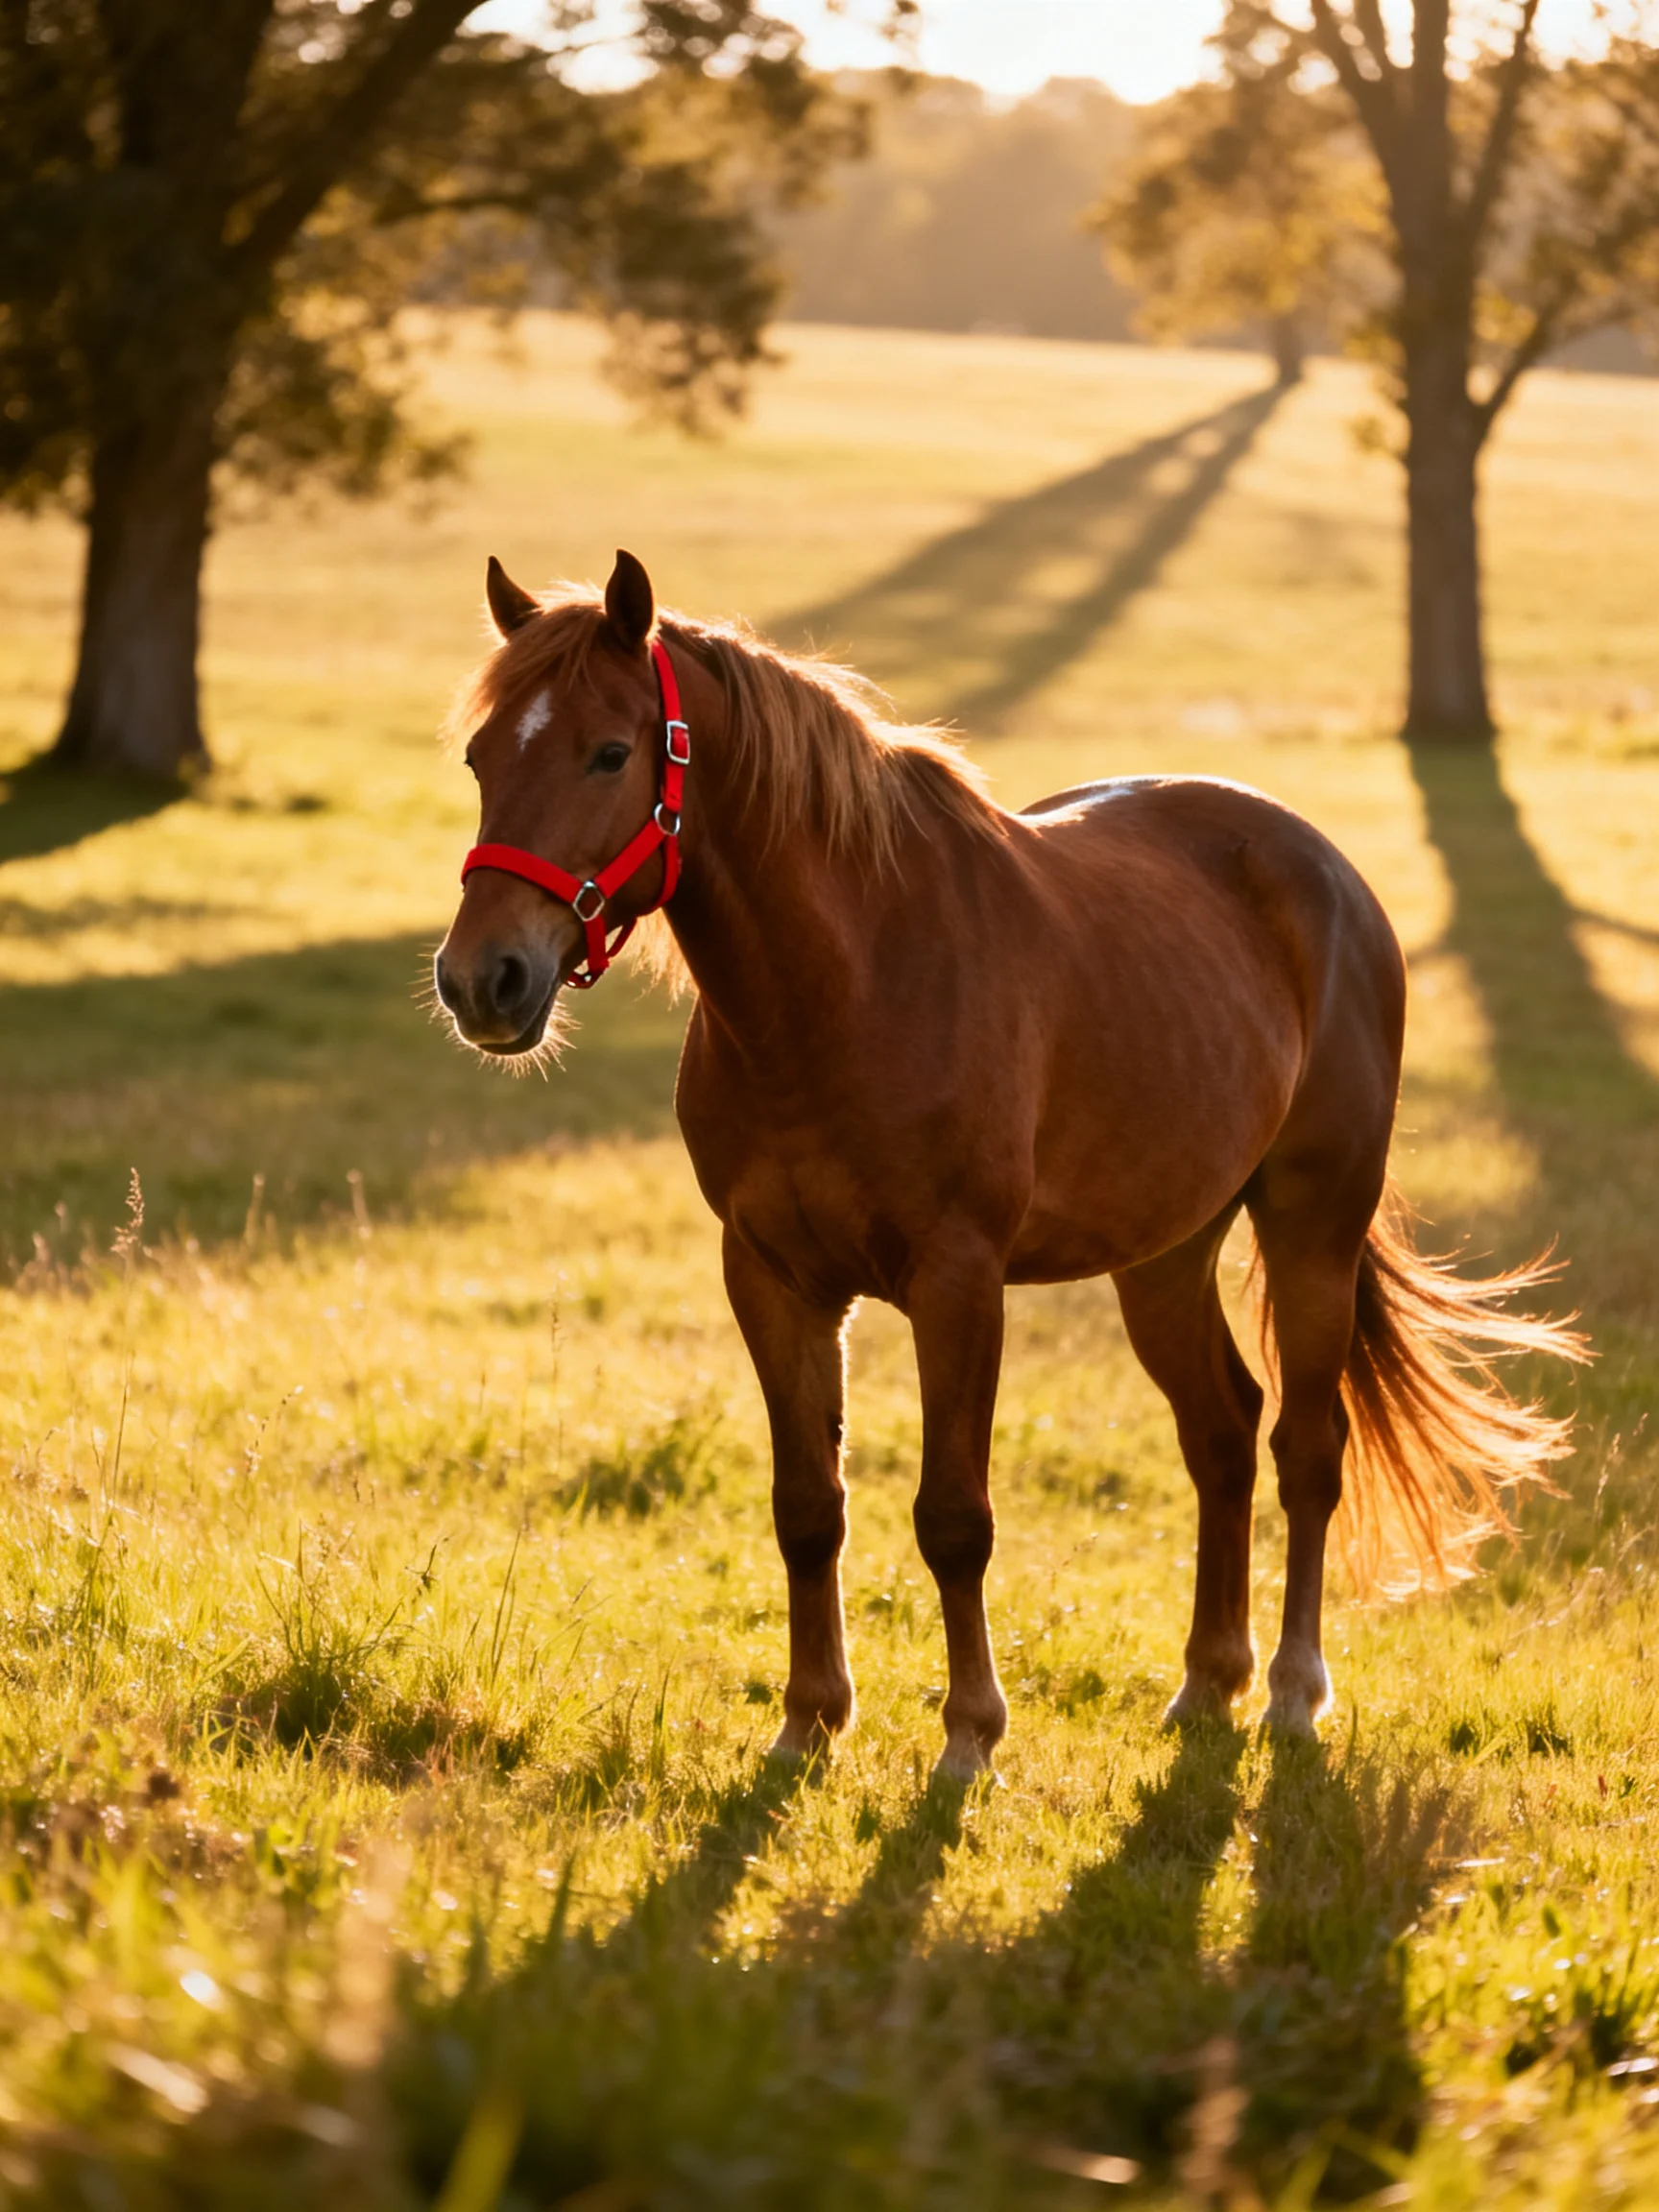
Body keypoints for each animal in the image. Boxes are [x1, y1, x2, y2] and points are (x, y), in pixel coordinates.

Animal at [434, 549, 1583, 1779]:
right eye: (480, 754)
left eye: (610, 752)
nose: (482, 979)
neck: (847, 986)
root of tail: (1328, 874)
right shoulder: (773, 1278)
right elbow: (808, 1506)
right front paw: (809, 1722)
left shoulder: (958, 1281)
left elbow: (954, 1518)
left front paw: (968, 1734)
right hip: (1164, 1255)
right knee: (1222, 1434)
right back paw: (1206, 1683)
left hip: (1311, 1228)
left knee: (1307, 1451)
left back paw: (1288, 1689)